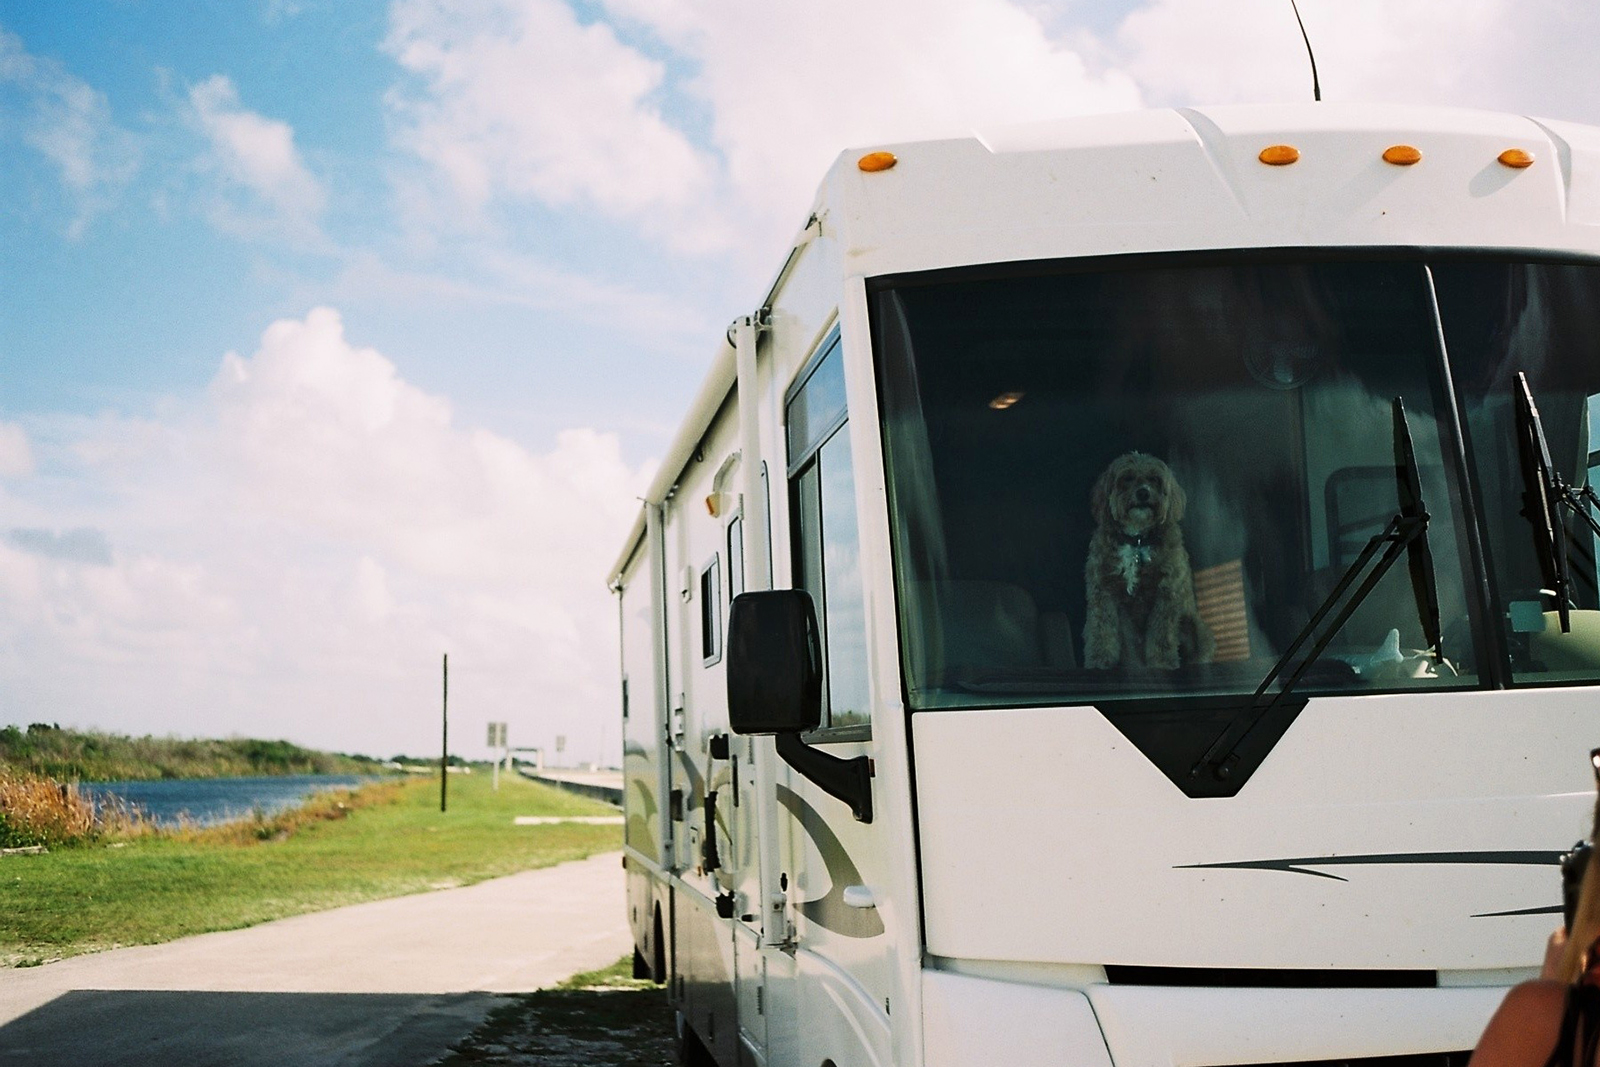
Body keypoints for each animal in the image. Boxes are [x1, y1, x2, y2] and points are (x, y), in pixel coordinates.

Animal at [1088, 454, 1209, 671]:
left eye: (1154, 479)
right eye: (1127, 478)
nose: (1143, 492)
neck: (1136, 540)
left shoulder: (1166, 593)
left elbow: (1162, 633)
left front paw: (1162, 662)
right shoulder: (1102, 591)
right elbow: (1102, 629)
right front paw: (1100, 659)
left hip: (1192, 625)